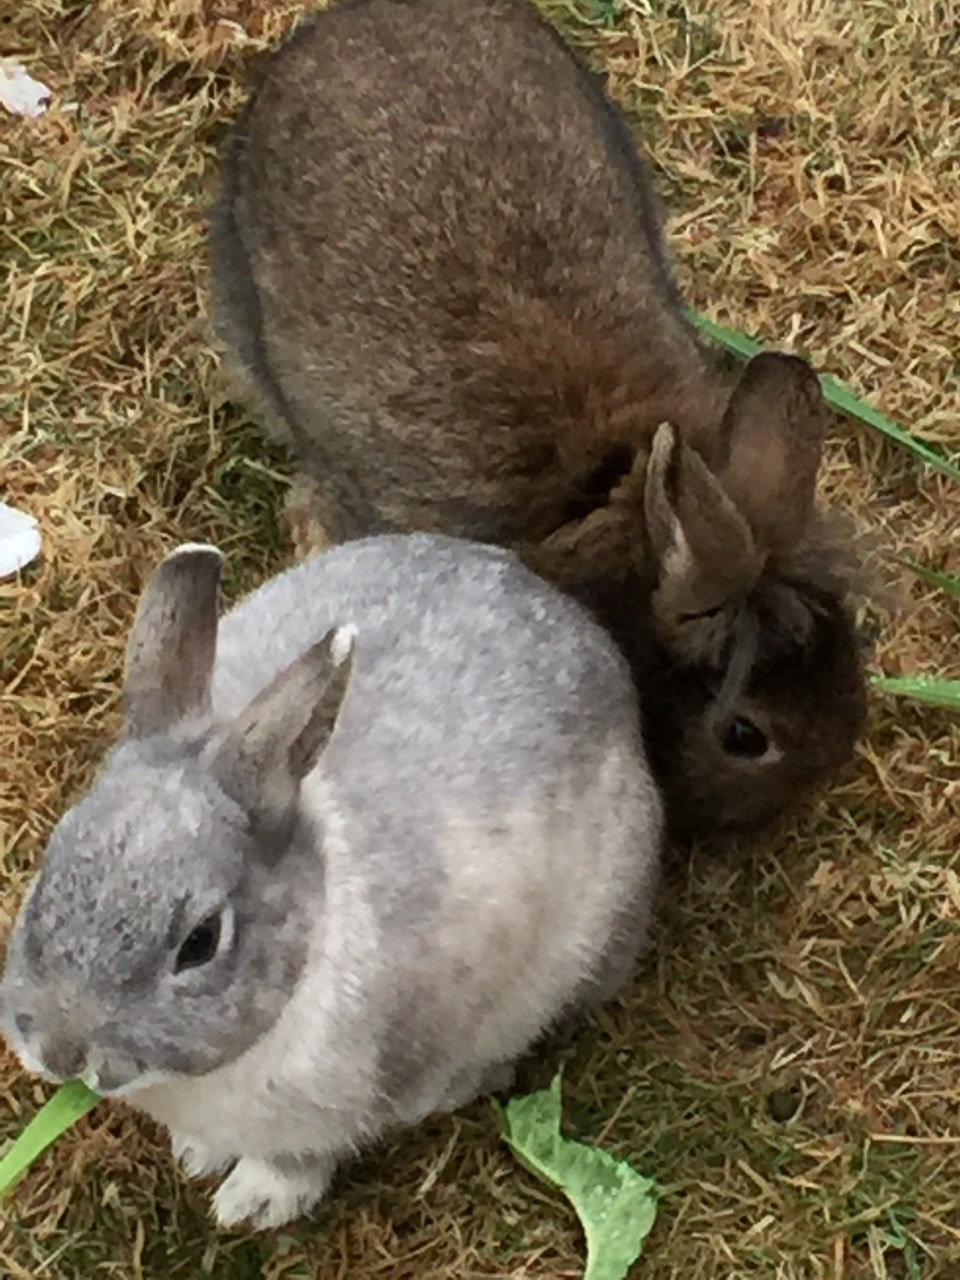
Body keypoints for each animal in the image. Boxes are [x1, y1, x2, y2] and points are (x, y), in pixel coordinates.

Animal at [0, 534, 662, 1231]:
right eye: (52, 863)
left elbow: (301, 1157)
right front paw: (196, 1154)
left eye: (201, 942)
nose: (60, 1051)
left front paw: (251, 1204)